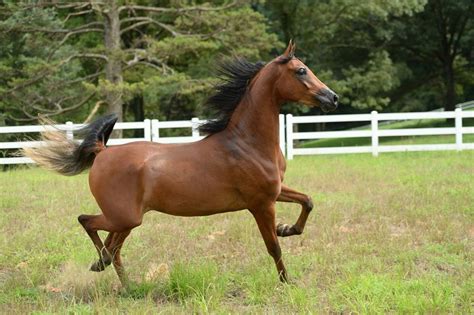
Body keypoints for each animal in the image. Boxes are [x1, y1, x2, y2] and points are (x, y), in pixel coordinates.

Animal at [24, 40, 338, 286]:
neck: (247, 143)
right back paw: (108, 270)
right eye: (301, 70)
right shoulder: (261, 203)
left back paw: (124, 283)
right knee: (88, 223)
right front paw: (287, 282)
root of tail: (102, 152)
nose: (332, 98)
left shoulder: (276, 191)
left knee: (113, 248)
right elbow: (273, 247)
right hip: (125, 217)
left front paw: (288, 229)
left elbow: (307, 201)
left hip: (126, 219)